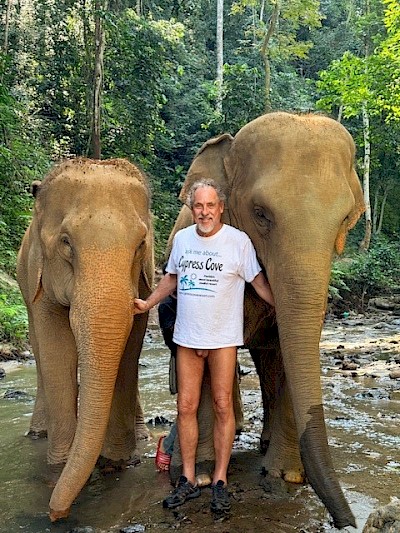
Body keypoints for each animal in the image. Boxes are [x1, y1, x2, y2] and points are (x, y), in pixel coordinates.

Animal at [16, 158, 154, 522]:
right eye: (66, 242)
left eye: (141, 244)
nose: (54, 515)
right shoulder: (41, 279)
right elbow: (56, 349)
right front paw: (60, 465)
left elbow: (131, 343)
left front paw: (117, 461)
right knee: (38, 351)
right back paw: (38, 433)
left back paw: (142, 435)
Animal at [166, 112, 365, 529]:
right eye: (261, 214)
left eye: (345, 219)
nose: (349, 523)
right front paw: (203, 477)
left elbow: (290, 354)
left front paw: (286, 475)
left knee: (269, 363)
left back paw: (266, 444)